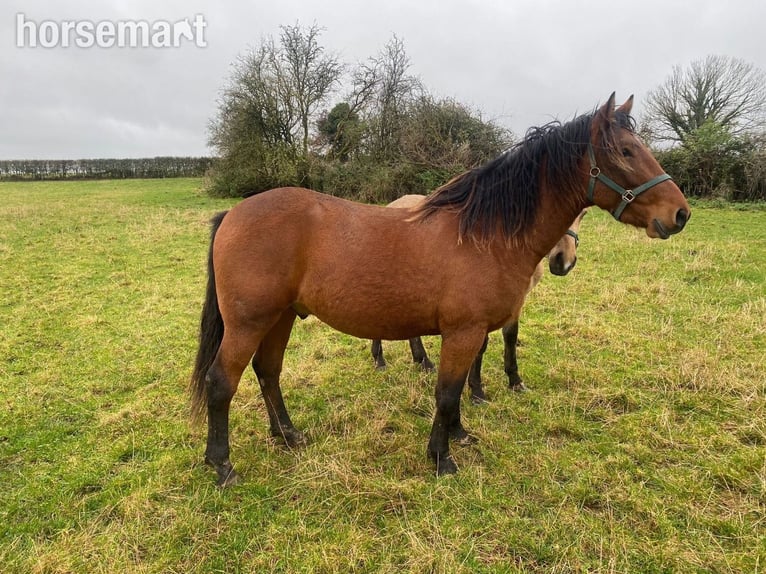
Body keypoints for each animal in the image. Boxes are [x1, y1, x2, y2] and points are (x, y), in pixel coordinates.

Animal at [370, 194, 587, 403]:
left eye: (583, 213)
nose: (563, 261)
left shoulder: (517, 302)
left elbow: (511, 336)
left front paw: (515, 381)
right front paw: (476, 392)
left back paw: (423, 362)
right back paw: (381, 361)